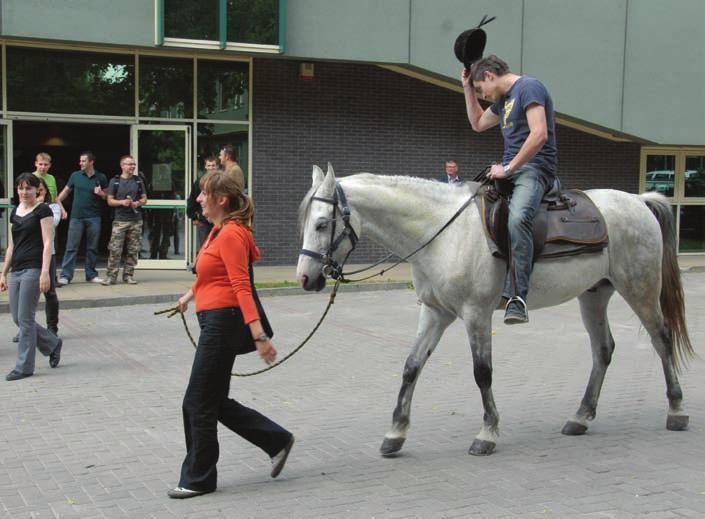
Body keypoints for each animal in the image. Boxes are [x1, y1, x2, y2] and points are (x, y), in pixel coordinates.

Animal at [294, 165, 692, 458]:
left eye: (322, 223)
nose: (305, 278)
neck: (442, 234)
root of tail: (639, 201)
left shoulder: (476, 313)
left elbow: (482, 373)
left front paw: (487, 433)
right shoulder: (435, 312)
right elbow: (411, 367)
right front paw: (395, 433)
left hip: (640, 289)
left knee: (661, 339)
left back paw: (676, 410)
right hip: (593, 295)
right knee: (603, 350)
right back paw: (580, 417)